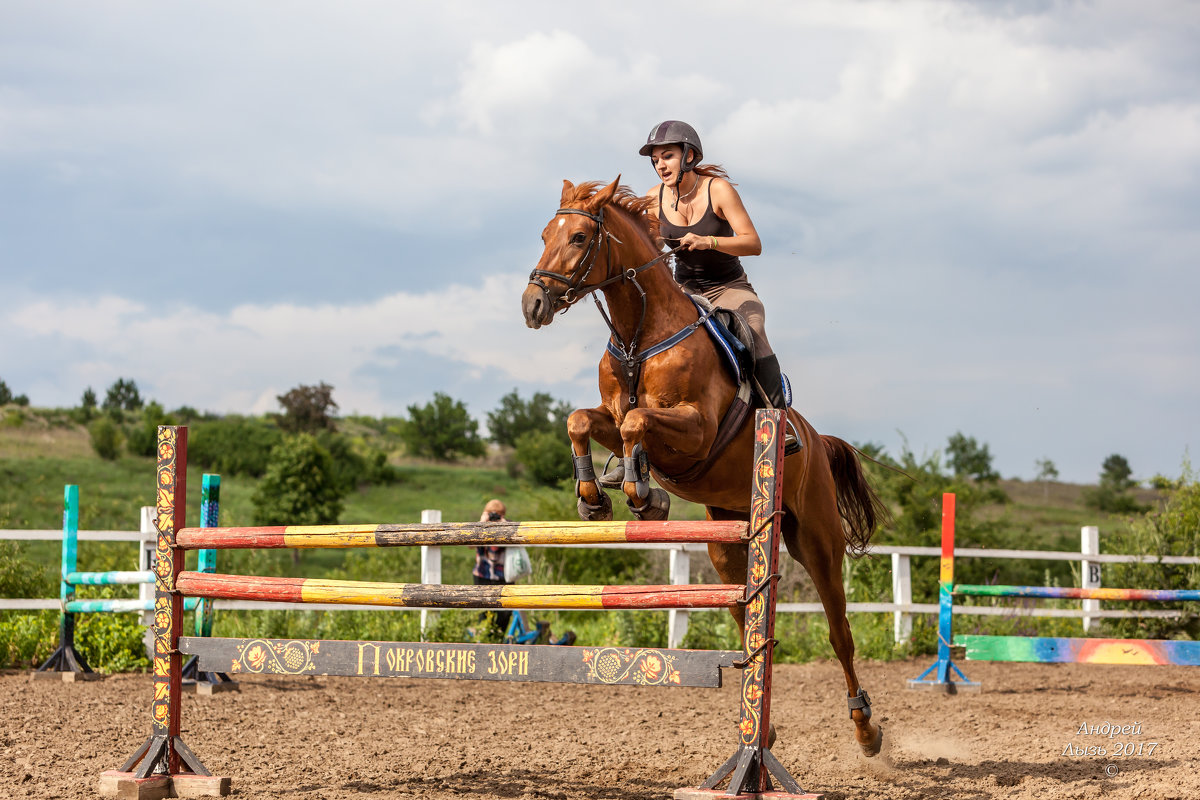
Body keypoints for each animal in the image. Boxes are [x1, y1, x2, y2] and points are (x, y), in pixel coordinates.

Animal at [520, 176, 888, 758]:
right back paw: (761, 728)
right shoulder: (610, 414)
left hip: (817, 539)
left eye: (578, 237)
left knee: (839, 632)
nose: (533, 304)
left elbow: (638, 425)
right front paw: (596, 495)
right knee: (744, 614)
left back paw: (866, 729)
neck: (640, 335)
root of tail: (814, 436)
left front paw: (644, 496)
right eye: (543, 235)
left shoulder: (695, 431)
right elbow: (583, 420)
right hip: (726, 539)